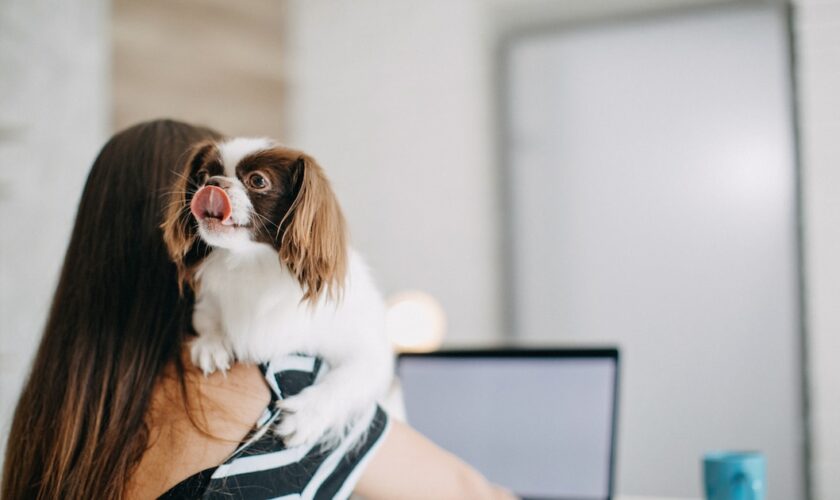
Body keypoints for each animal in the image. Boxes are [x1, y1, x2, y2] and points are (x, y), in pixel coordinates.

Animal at [163, 138, 394, 450]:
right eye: (201, 175)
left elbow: (345, 380)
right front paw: (212, 345)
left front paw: (305, 417)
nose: (212, 184)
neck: (251, 262)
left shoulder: (370, 353)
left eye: (258, 181)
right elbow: (208, 321)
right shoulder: (207, 305)